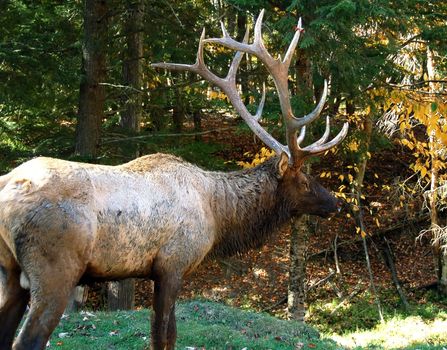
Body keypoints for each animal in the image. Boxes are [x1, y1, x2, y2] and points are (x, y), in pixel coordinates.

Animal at [0, 10, 348, 350]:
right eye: (305, 181)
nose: (336, 203)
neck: (218, 214)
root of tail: (7, 189)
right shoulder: (173, 264)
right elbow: (163, 335)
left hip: (11, 271)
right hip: (55, 269)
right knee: (28, 339)